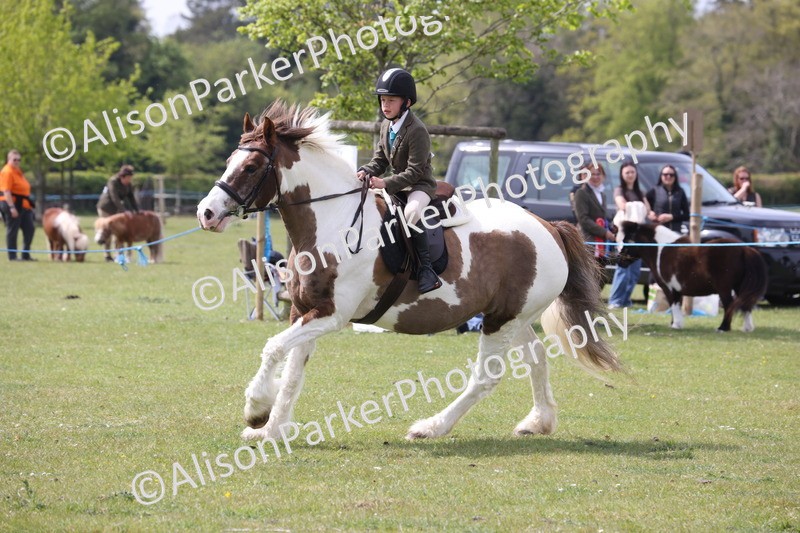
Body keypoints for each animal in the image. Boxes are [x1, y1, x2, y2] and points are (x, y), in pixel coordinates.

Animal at [197, 101, 621, 443]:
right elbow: (292, 371)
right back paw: (538, 422)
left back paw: (430, 427)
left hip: (502, 320)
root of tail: (549, 227)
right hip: (513, 316)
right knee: (536, 358)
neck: (332, 219)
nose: (206, 213)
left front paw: (256, 410)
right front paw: (272, 429)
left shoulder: (332, 316)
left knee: (486, 377)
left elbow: (273, 349)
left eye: (251, 166)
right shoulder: (304, 311)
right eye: (230, 162)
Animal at [617, 221, 768, 332]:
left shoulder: (669, 288)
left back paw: (722, 328)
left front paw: (676, 325)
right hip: (739, 287)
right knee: (745, 305)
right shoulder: (676, 290)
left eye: (627, 240)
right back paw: (747, 328)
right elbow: (675, 306)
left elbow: (674, 305)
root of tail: (744, 248)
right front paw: (675, 323)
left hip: (724, 288)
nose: (619, 260)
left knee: (729, 305)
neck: (661, 251)